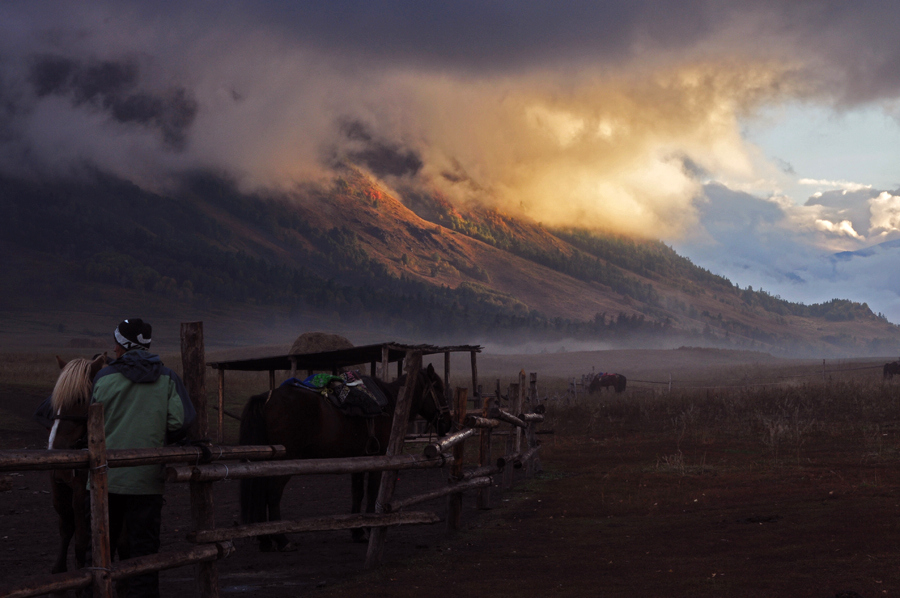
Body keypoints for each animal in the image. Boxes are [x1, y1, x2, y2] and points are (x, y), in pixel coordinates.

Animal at [237, 364, 450, 552]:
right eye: (439, 389)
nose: (448, 423)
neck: (392, 404)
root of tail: (266, 398)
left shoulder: (359, 458)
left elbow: (357, 492)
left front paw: (357, 532)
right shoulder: (379, 456)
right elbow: (372, 492)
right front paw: (370, 528)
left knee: (261, 494)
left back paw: (265, 541)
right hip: (285, 462)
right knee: (272, 495)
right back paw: (282, 540)